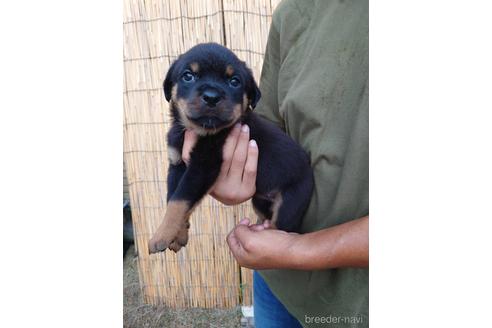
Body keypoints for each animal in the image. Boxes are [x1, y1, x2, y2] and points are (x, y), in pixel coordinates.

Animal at [148, 43, 314, 254]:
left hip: (291, 203)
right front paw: (178, 235)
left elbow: (180, 200)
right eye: (188, 76)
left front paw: (160, 236)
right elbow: (174, 199)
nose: (211, 97)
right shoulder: (178, 163)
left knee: (282, 229)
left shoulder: (202, 167)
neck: (199, 131)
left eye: (234, 81)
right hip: (260, 201)